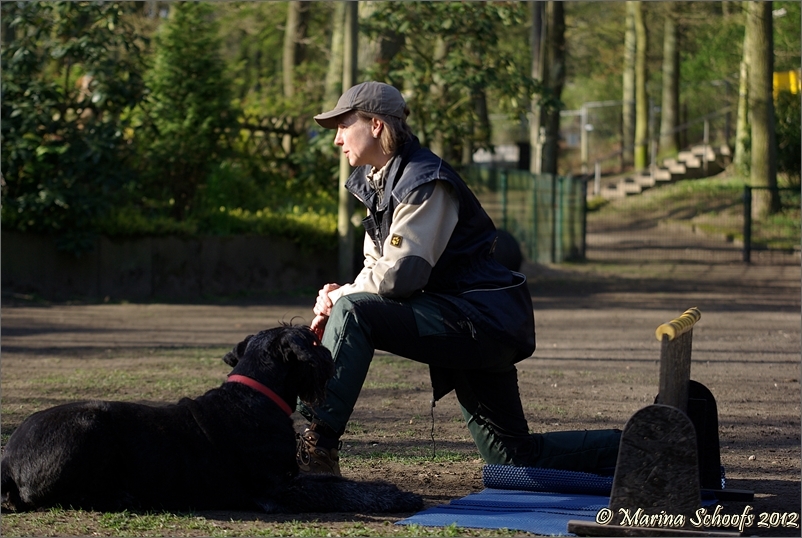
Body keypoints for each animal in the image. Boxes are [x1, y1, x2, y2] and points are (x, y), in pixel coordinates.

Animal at [0, 322, 422, 510]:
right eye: (312, 339)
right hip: (90, 426)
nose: (328, 358)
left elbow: (335, 483)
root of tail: (7, 459)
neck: (255, 394)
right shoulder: (279, 487)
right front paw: (394, 496)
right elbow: (335, 489)